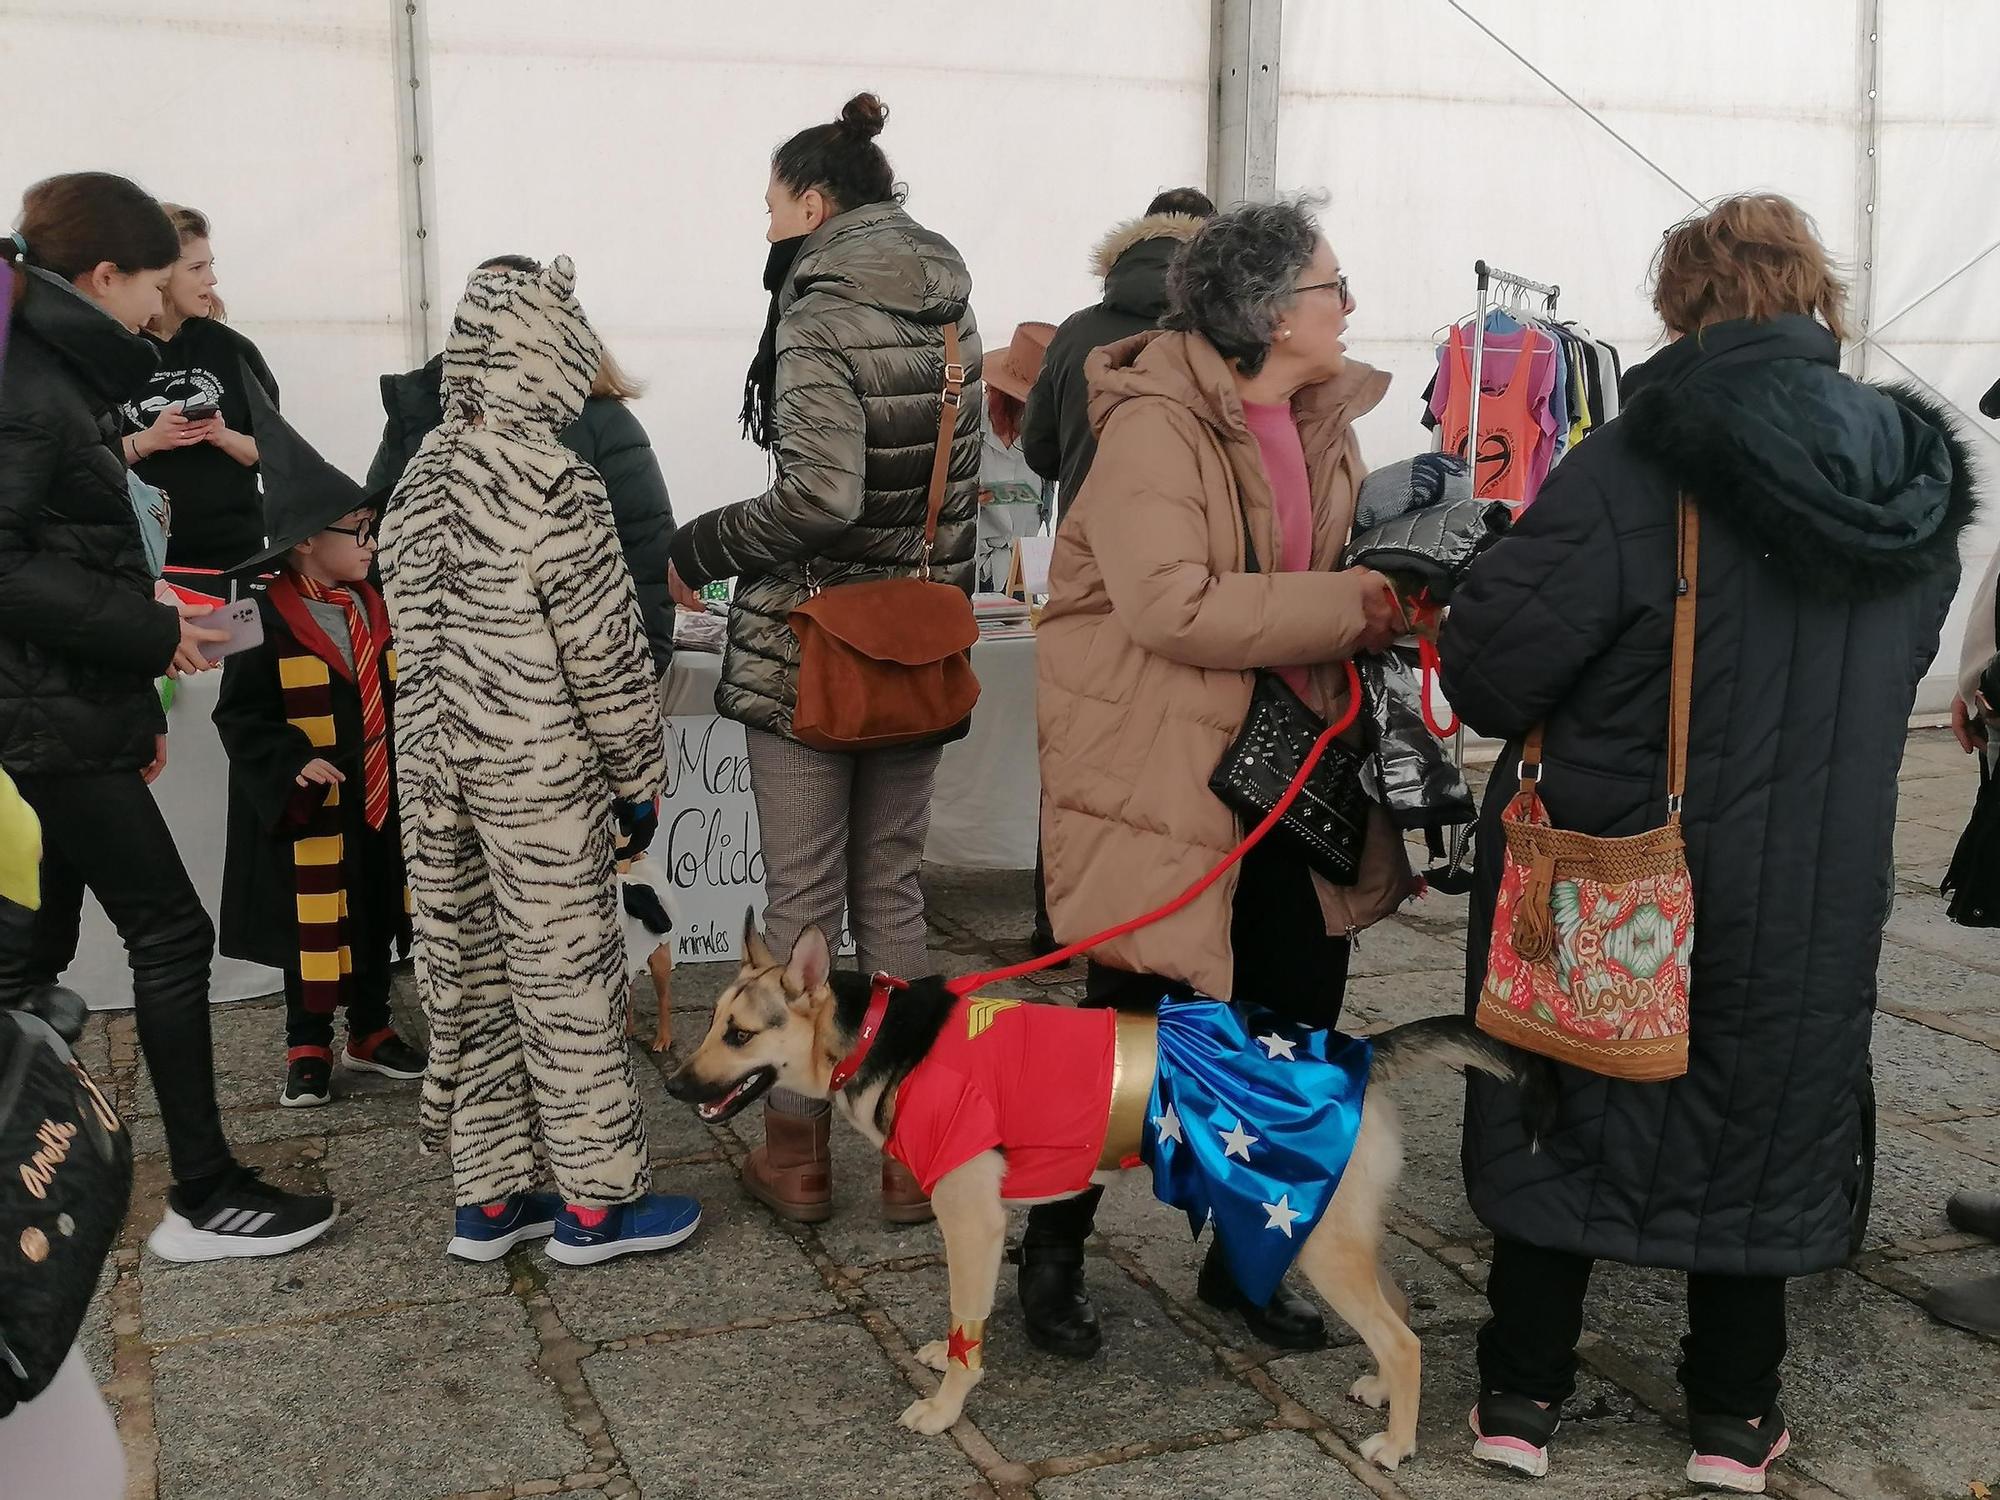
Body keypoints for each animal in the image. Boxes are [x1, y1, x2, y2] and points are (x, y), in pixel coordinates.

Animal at [672, 916, 1544, 1472]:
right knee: (1397, 1318)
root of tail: (1358, 1051)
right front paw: (943, 1356)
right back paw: (1380, 1392)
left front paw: (947, 1408)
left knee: (1402, 1338)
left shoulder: (972, 1219)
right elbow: (962, 1312)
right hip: (1340, 1233)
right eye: (710, 1021)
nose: (677, 1086)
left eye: (740, 1036)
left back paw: (1398, 1446)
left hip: (1319, 1242)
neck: (883, 1037)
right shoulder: (974, 1226)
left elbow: (967, 1325)